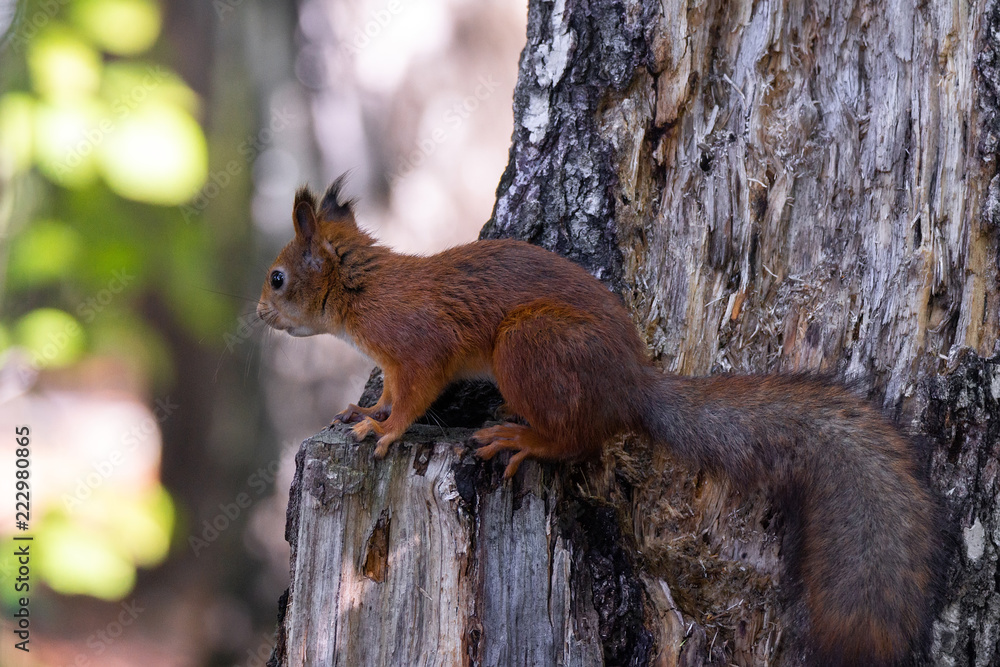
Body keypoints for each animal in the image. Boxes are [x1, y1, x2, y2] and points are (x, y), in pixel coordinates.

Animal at [257, 177, 943, 667]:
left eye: (277, 277)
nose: (259, 313)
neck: (364, 289)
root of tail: (631, 386)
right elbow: (390, 395)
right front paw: (364, 412)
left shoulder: (418, 345)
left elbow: (414, 394)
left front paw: (386, 430)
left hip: (529, 347)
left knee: (576, 439)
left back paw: (522, 438)